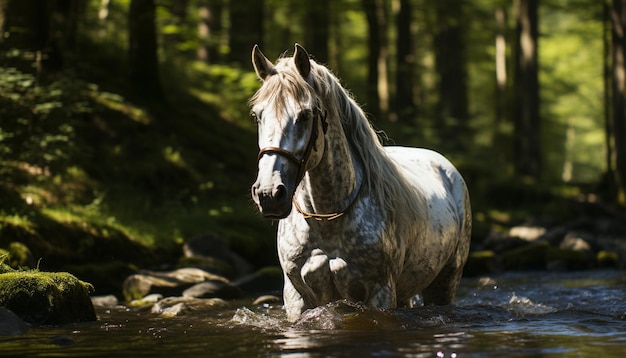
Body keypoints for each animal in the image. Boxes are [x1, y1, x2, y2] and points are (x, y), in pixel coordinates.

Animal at [247, 44, 468, 322]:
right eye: (257, 115)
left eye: (305, 115)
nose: (269, 193)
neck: (326, 219)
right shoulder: (296, 297)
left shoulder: (381, 292)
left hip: (445, 282)